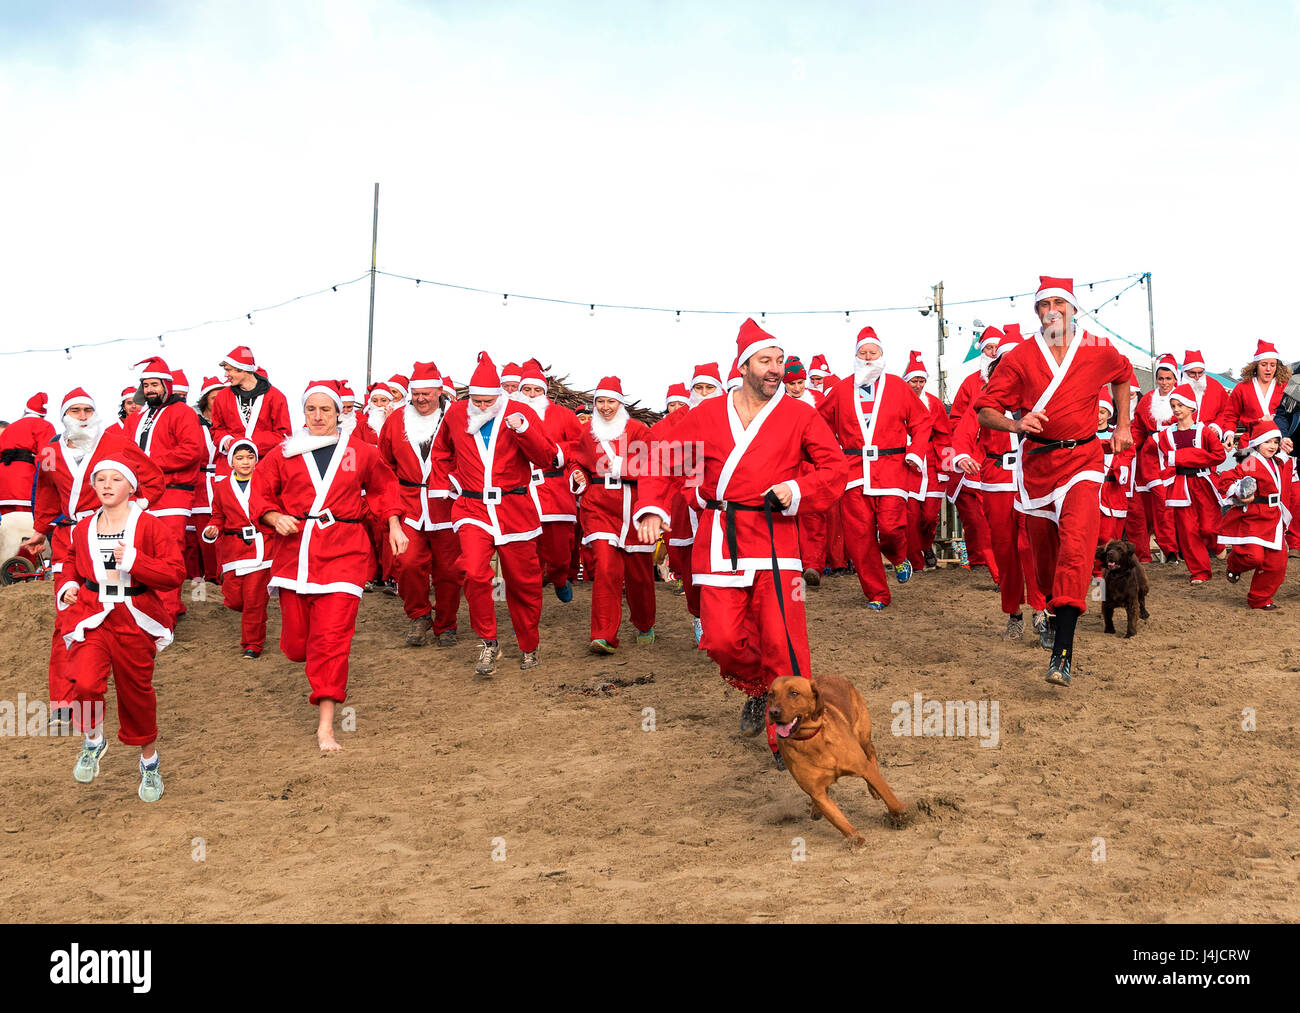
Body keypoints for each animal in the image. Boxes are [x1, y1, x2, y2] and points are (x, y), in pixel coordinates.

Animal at [759, 676, 904, 853]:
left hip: (862, 736)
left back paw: (873, 789)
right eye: (771, 694)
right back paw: (815, 810)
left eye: (794, 693)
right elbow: (839, 820)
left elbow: (889, 797)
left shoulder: (863, 768)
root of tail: (833, 676)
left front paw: (902, 816)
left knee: (871, 752)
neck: (811, 739)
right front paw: (856, 839)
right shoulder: (817, 793)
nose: (773, 712)